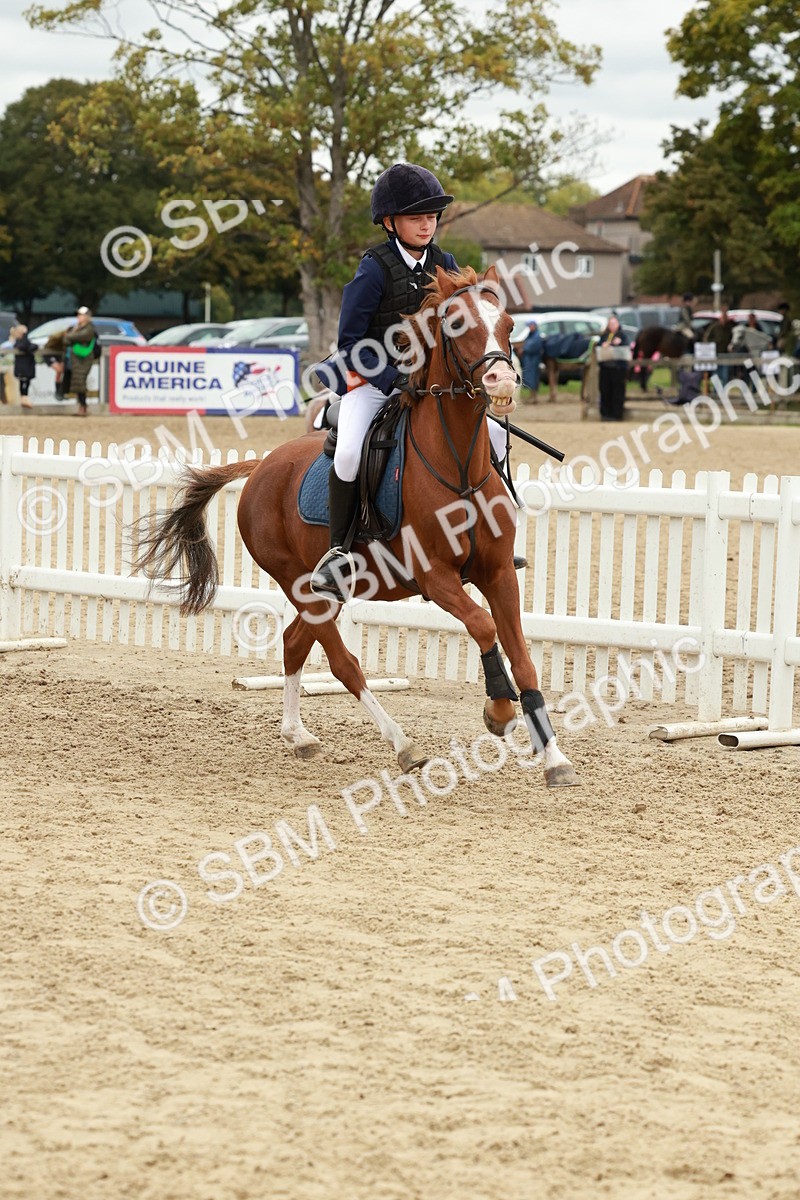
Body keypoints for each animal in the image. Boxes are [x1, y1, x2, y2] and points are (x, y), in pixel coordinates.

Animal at [134, 265, 580, 788]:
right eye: (456, 326)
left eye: (509, 325)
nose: (502, 380)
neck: (456, 465)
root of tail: (263, 465)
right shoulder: (435, 577)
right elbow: (483, 625)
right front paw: (498, 710)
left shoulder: (499, 573)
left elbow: (525, 660)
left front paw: (554, 759)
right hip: (299, 582)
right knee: (343, 664)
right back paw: (403, 746)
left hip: (325, 593)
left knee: (294, 644)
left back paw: (298, 736)